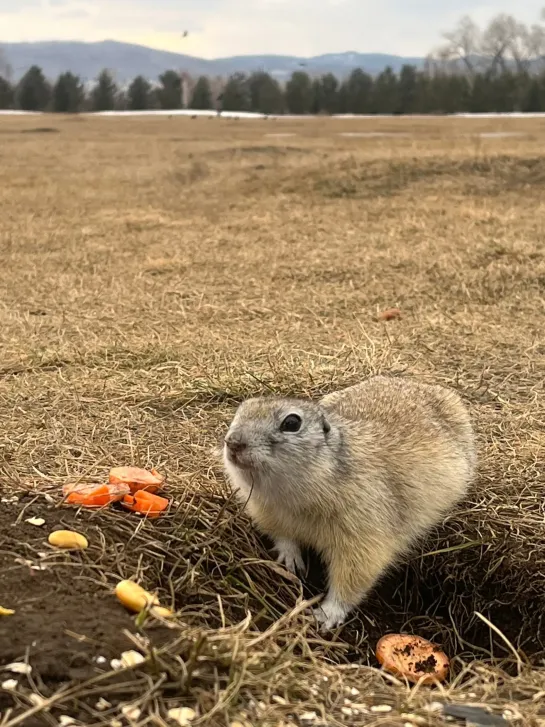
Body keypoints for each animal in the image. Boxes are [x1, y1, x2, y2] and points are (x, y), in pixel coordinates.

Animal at [221, 376, 476, 632]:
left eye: (292, 422)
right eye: (241, 410)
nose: (232, 442)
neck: (289, 498)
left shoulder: (364, 529)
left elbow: (354, 575)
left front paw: (325, 614)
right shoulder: (266, 512)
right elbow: (282, 536)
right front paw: (290, 560)